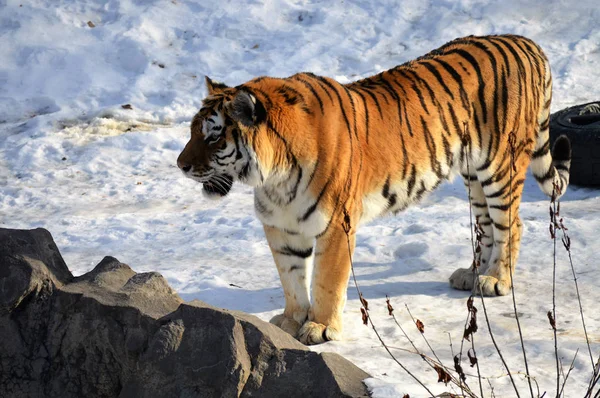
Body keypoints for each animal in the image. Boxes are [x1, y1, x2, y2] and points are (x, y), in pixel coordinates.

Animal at [176, 34, 568, 346]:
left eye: (213, 136)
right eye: (194, 130)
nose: (180, 165)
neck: (274, 179)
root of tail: (527, 43)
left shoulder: (336, 225)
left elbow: (326, 281)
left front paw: (320, 327)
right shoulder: (281, 227)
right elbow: (291, 278)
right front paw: (291, 319)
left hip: (500, 166)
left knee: (511, 224)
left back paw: (496, 280)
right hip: (474, 176)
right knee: (487, 226)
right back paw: (473, 274)